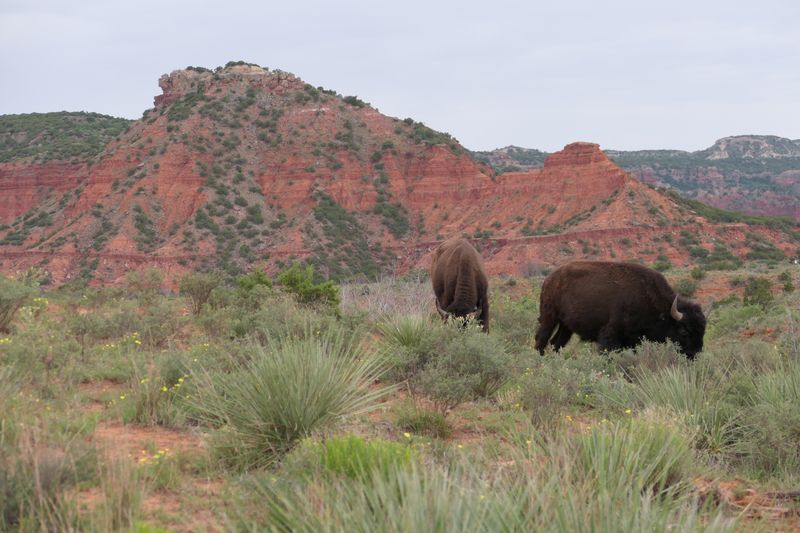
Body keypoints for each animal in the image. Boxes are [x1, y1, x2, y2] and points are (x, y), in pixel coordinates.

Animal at [534, 261, 706, 359]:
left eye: (702, 330)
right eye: (683, 331)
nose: (695, 353)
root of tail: (549, 279)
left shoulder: (633, 341)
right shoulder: (610, 334)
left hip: (566, 326)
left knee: (556, 343)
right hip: (549, 317)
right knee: (541, 340)